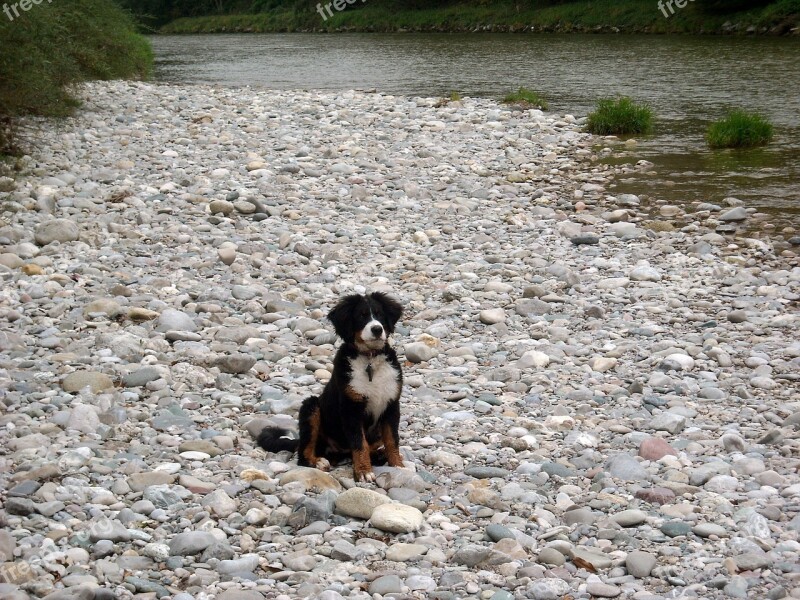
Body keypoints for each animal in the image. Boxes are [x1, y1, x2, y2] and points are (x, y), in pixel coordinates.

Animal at [258, 292, 406, 486]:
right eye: (361, 316)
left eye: (380, 314)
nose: (377, 329)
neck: (370, 359)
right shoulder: (351, 408)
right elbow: (360, 443)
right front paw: (364, 472)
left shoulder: (391, 405)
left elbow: (392, 440)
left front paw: (398, 466)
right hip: (311, 406)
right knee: (304, 453)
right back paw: (318, 462)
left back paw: (378, 455)